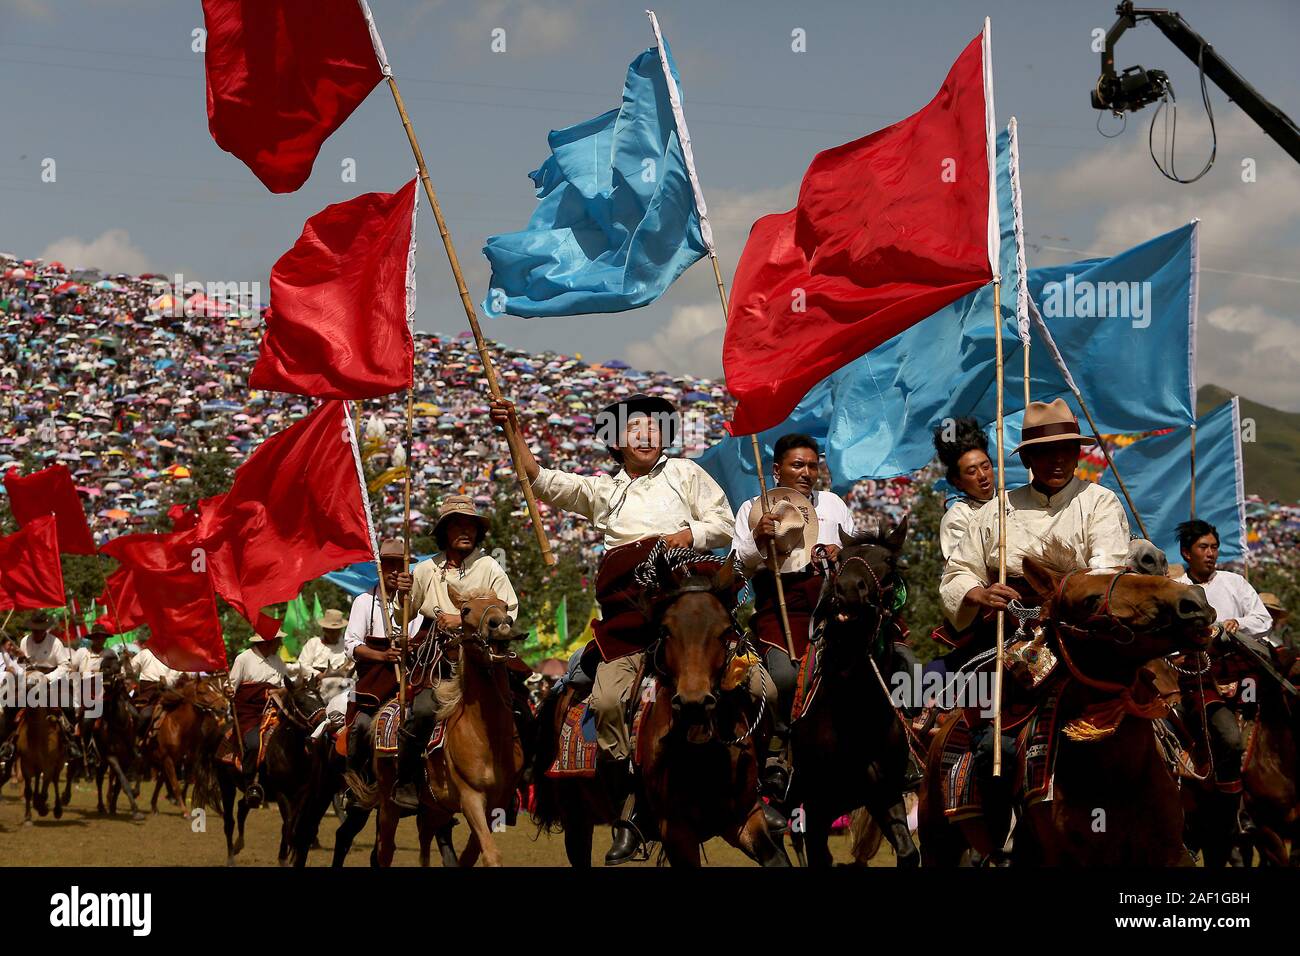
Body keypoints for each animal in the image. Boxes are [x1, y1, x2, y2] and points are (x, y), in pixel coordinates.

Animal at [369, 587, 525, 868]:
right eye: (465, 611)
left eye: (505, 605)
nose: (500, 625)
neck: (488, 738)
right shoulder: (471, 798)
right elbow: (490, 854)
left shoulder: (497, 802)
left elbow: (471, 856)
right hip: (388, 801)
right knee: (385, 849)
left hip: (435, 807)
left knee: (425, 838)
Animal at [785, 515, 920, 868]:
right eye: (841, 560)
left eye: (889, 561)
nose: (845, 590)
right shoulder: (816, 807)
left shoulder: (884, 794)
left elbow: (908, 851)